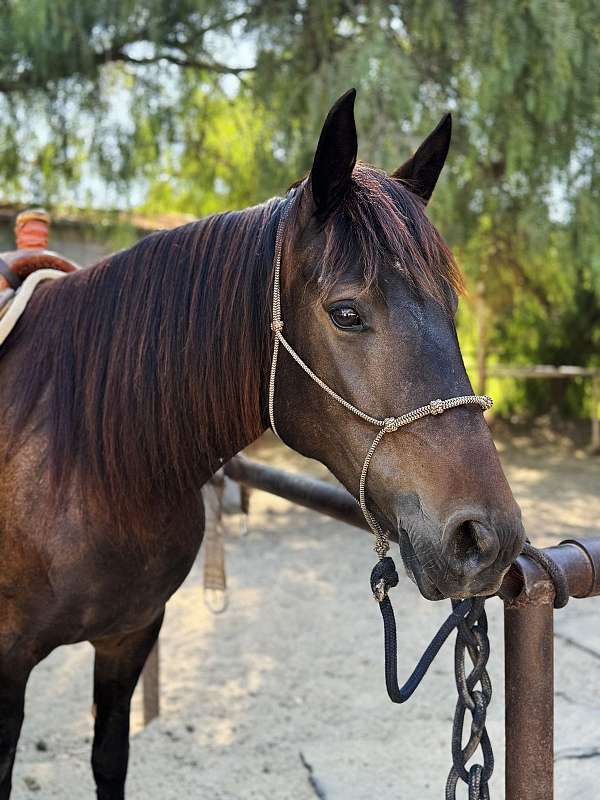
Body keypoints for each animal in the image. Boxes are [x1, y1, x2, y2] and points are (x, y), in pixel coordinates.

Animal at [0, 90, 524, 796]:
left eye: (450, 306)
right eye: (346, 313)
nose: (484, 537)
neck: (85, 464)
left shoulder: (128, 636)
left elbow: (109, 759)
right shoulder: (8, 663)